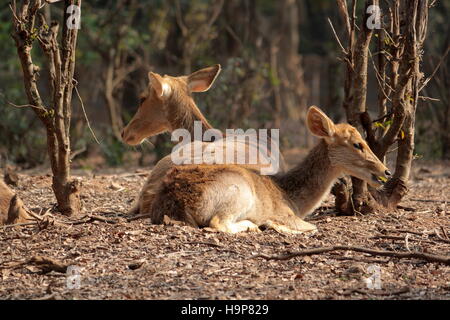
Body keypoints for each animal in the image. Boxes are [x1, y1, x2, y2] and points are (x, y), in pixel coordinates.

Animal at [148, 106, 390, 234]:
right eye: (357, 144)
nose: (386, 171)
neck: (291, 198)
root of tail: (174, 201)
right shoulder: (286, 213)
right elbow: (312, 227)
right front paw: (274, 225)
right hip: (238, 193)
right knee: (218, 224)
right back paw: (256, 225)